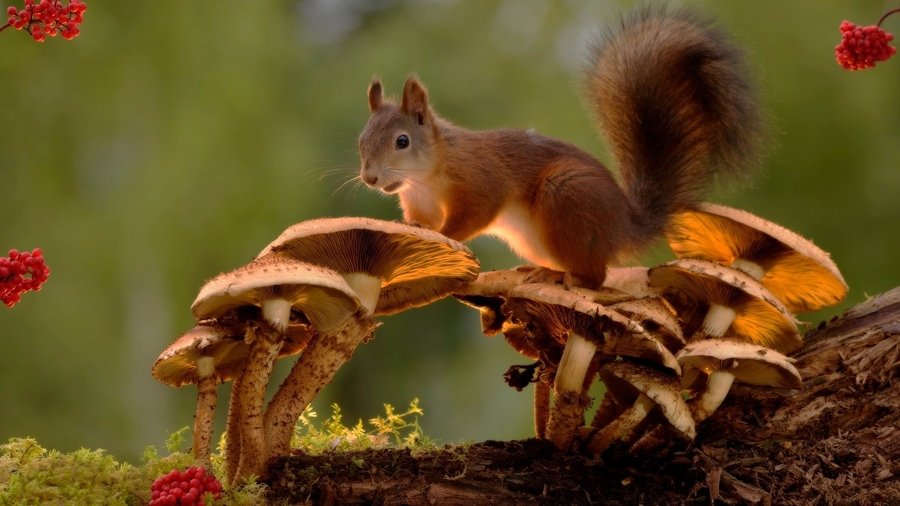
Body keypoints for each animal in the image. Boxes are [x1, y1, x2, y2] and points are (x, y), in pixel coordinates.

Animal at [357, 6, 763, 288]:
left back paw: (562, 278)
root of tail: (625, 224)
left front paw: (446, 236)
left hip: (565, 199)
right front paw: (407, 229)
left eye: (402, 141)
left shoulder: (481, 178)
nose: (370, 178)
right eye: (361, 140)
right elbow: (420, 222)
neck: (425, 177)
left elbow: (475, 212)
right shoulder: (419, 203)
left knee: (596, 277)